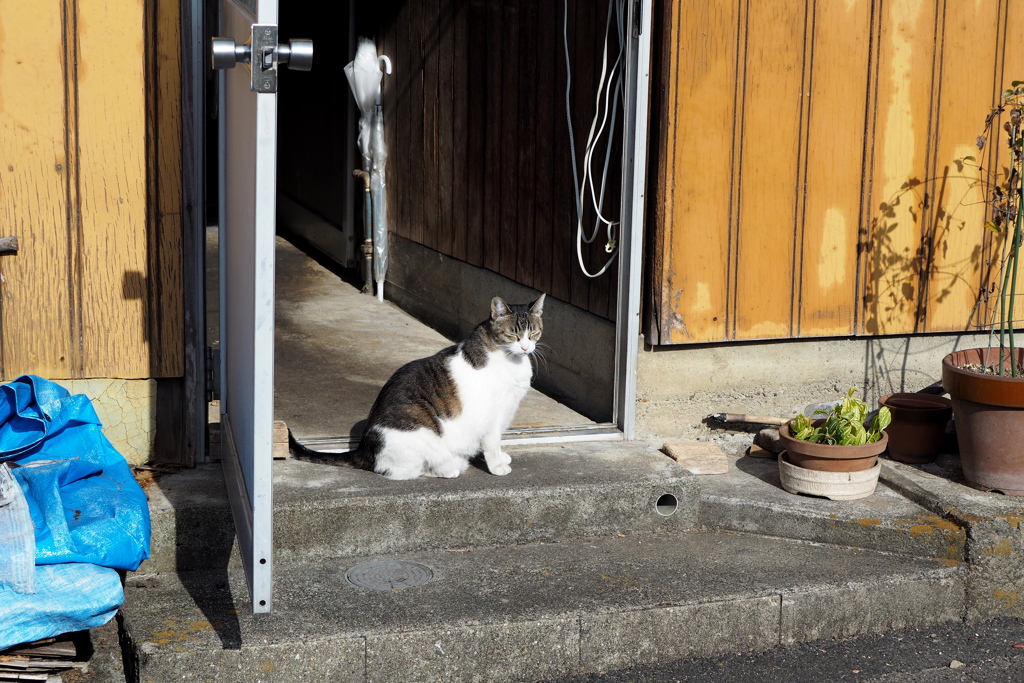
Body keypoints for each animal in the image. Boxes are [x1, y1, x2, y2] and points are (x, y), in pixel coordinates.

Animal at [299, 294, 544, 481]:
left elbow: (498, 440)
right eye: (512, 334)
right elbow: (492, 441)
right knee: (403, 471)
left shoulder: (507, 408)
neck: (510, 359)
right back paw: (450, 467)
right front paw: (497, 466)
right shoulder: (493, 414)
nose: (525, 347)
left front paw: (502, 457)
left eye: (533, 333)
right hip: (420, 432)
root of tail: (363, 449)